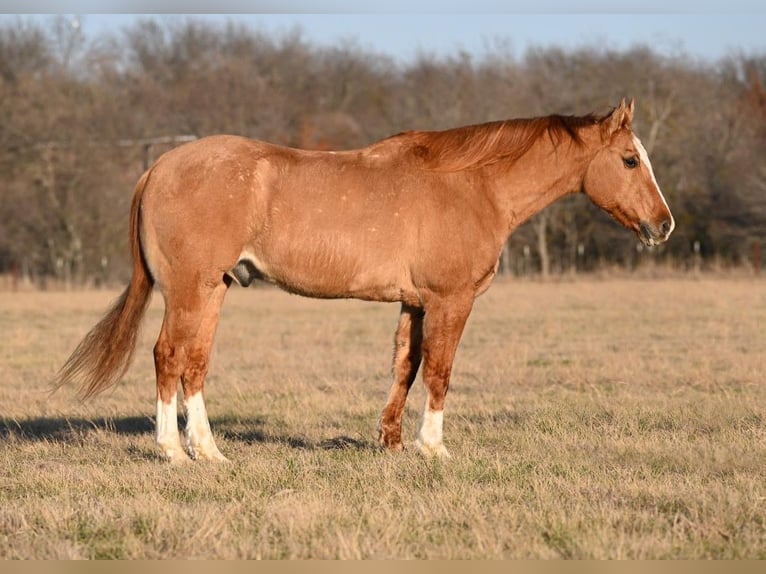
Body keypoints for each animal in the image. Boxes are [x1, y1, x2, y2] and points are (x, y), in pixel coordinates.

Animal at [54, 97, 676, 462]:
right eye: (629, 160)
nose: (663, 225)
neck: (472, 184)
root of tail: (160, 166)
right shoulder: (450, 301)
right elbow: (441, 372)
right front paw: (433, 449)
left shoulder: (415, 304)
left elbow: (407, 367)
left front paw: (392, 443)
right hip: (189, 290)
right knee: (168, 356)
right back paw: (173, 452)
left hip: (213, 291)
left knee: (194, 364)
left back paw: (208, 452)